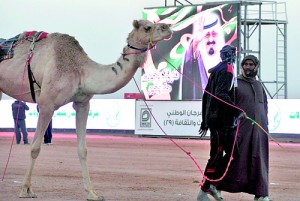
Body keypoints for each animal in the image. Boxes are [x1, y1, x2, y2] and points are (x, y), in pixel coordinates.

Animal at [0, 19, 172, 201]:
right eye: (147, 27)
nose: (168, 28)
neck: (81, 71)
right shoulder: (47, 103)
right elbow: (35, 147)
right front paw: (26, 190)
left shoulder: (82, 103)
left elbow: (83, 149)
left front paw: (92, 193)